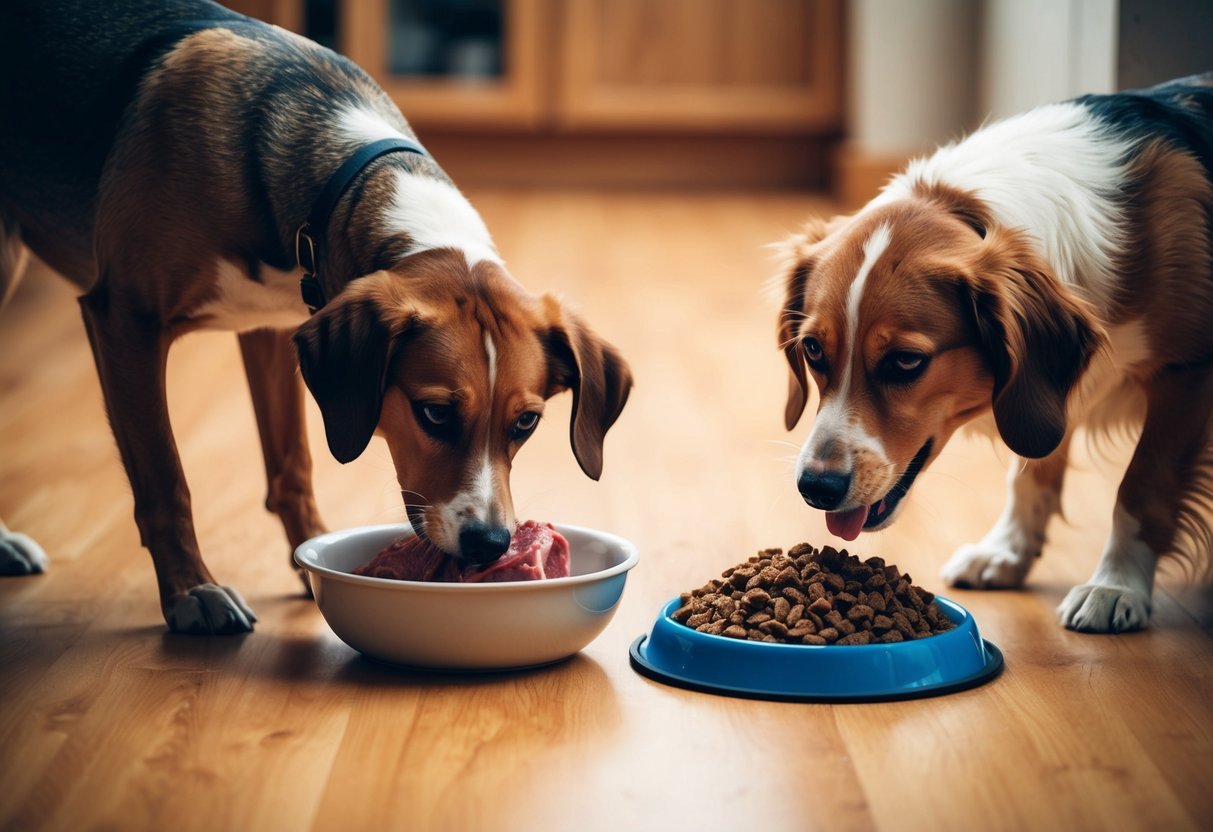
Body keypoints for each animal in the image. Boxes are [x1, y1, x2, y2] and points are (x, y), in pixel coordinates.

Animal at [2, 0, 635, 635]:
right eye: (434, 413)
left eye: (526, 423)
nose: (489, 544)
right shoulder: (124, 319)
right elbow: (164, 478)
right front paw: (190, 588)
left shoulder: (273, 332)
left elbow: (293, 465)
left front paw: (311, 552)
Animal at [776, 74, 1213, 635]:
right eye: (812, 349)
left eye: (905, 361)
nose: (816, 488)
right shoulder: (1049, 400)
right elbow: (1033, 468)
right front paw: (1008, 551)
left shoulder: (1187, 373)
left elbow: (1142, 486)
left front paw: (1116, 586)